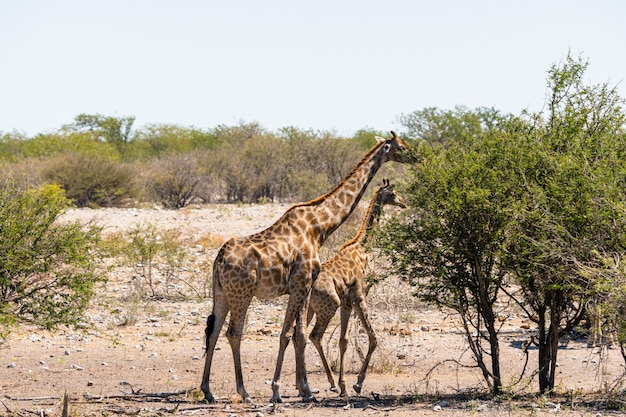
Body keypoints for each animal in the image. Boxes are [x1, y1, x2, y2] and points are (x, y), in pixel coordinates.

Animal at [302, 178, 404, 396]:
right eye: (392, 193)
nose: (403, 203)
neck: (362, 249)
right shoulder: (358, 298)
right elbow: (372, 337)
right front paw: (356, 384)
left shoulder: (346, 304)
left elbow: (343, 341)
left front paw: (344, 385)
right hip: (328, 306)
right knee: (315, 336)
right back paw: (328, 383)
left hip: (310, 309)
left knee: (299, 335)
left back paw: (308, 387)